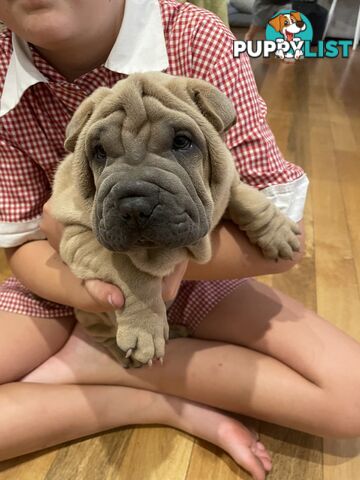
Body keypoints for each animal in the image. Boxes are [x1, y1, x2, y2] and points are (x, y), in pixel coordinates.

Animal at [49, 72, 300, 368]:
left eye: (182, 142)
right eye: (99, 152)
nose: (134, 204)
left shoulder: (225, 183)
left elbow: (247, 197)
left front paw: (278, 231)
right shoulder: (79, 237)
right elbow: (131, 271)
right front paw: (144, 329)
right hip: (91, 314)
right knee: (101, 333)